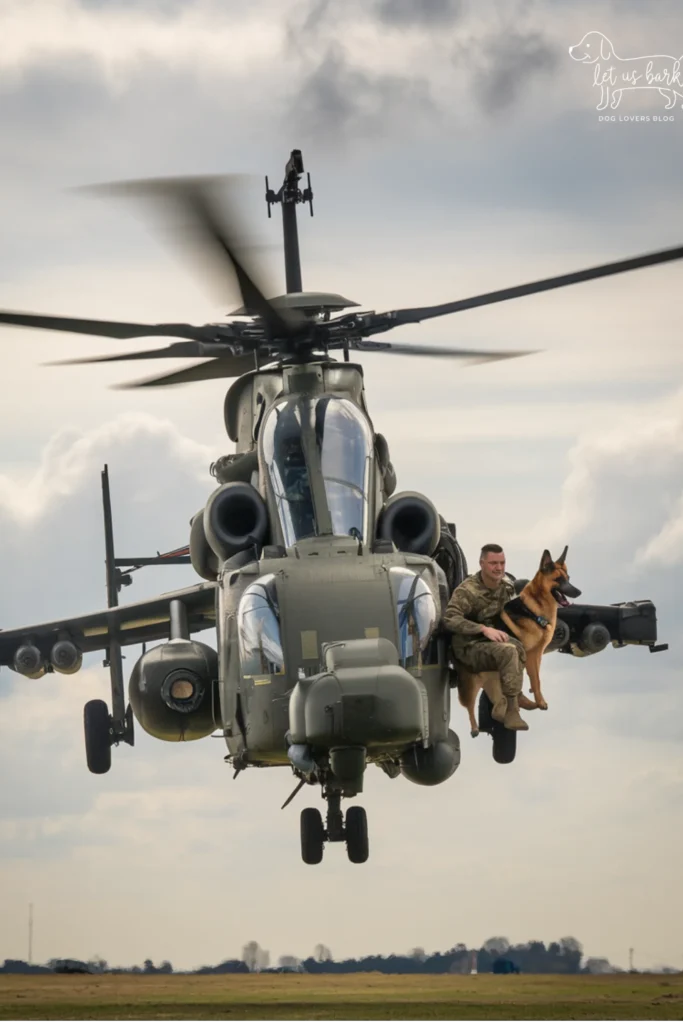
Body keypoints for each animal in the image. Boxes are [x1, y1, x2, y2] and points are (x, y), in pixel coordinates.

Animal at [458, 548, 581, 733]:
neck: (534, 608)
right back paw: (475, 728)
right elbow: (535, 679)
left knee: (496, 705)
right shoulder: (530, 654)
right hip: (472, 683)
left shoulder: (537, 655)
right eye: (558, 580)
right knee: (469, 705)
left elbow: (534, 678)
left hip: (492, 680)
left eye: (568, 578)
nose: (579, 592)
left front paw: (534, 700)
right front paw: (540, 702)